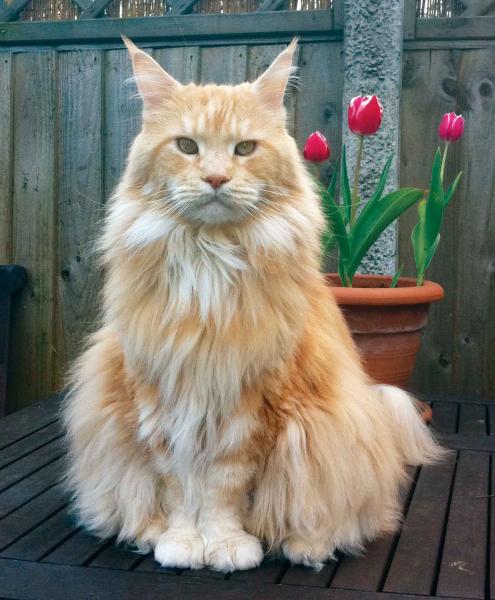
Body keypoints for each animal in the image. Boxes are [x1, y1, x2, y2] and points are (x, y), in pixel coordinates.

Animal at [64, 37, 444, 572]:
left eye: (244, 149)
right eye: (186, 146)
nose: (216, 178)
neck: (210, 259)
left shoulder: (249, 402)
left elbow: (224, 490)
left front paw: (225, 544)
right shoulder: (161, 397)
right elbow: (178, 487)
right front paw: (182, 541)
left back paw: (306, 545)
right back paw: (144, 531)